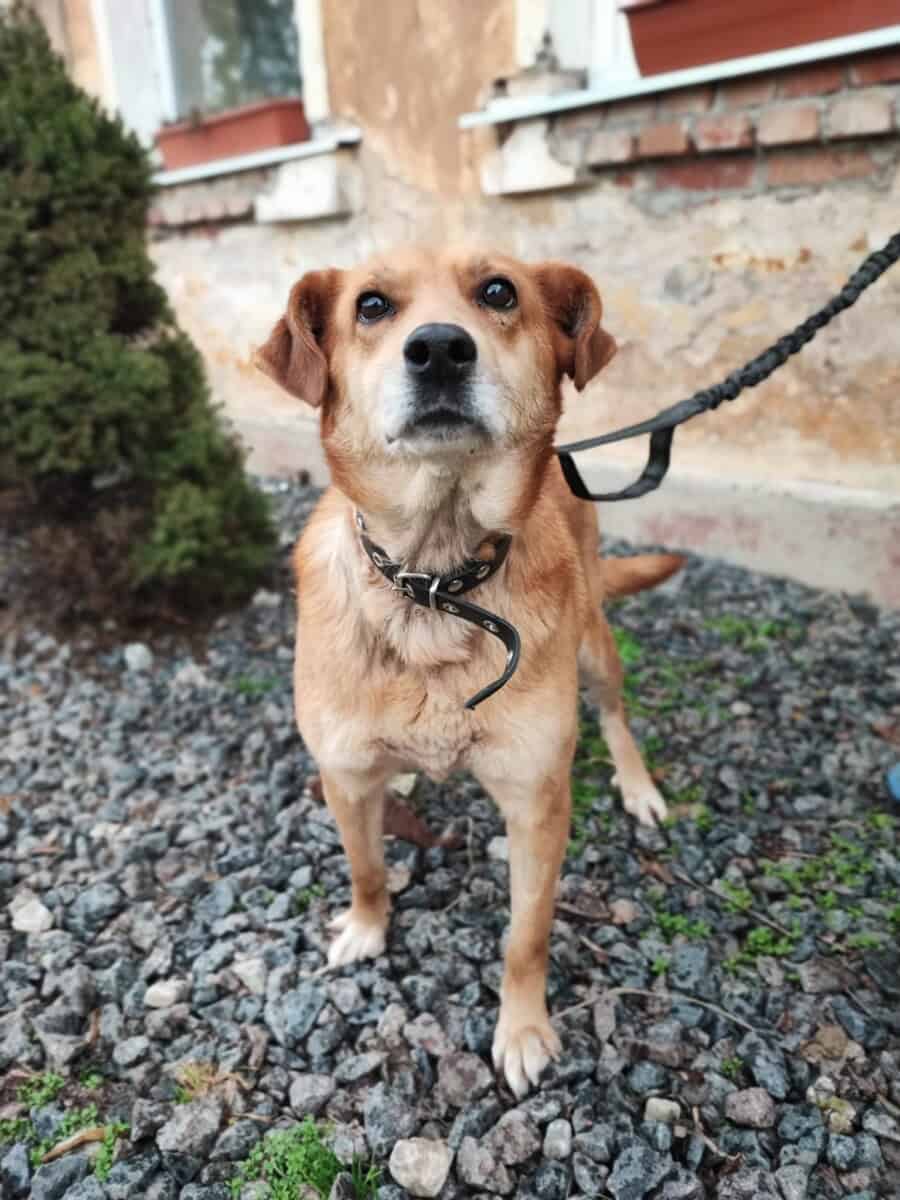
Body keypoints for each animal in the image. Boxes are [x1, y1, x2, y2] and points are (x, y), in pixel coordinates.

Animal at [255, 246, 683, 1096]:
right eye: (372, 305)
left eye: (498, 292)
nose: (440, 349)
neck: (434, 581)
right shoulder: (342, 777)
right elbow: (366, 868)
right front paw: (367, 928)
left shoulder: (538, 802)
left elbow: (526, 936)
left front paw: (522, 1031)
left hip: (594, 645)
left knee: (616, 714)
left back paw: (638, 786)